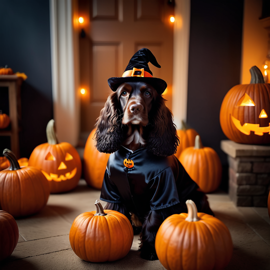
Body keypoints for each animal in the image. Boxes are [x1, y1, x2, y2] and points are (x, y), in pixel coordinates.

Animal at [94, 48, 212, 260]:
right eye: (124, 93)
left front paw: (149, 249)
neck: (133, 151)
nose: (135, 108)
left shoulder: (162, 192)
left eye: (148, 93)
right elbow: (118, 214)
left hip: (198, 197)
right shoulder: (113, 189)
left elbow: (153, 222)